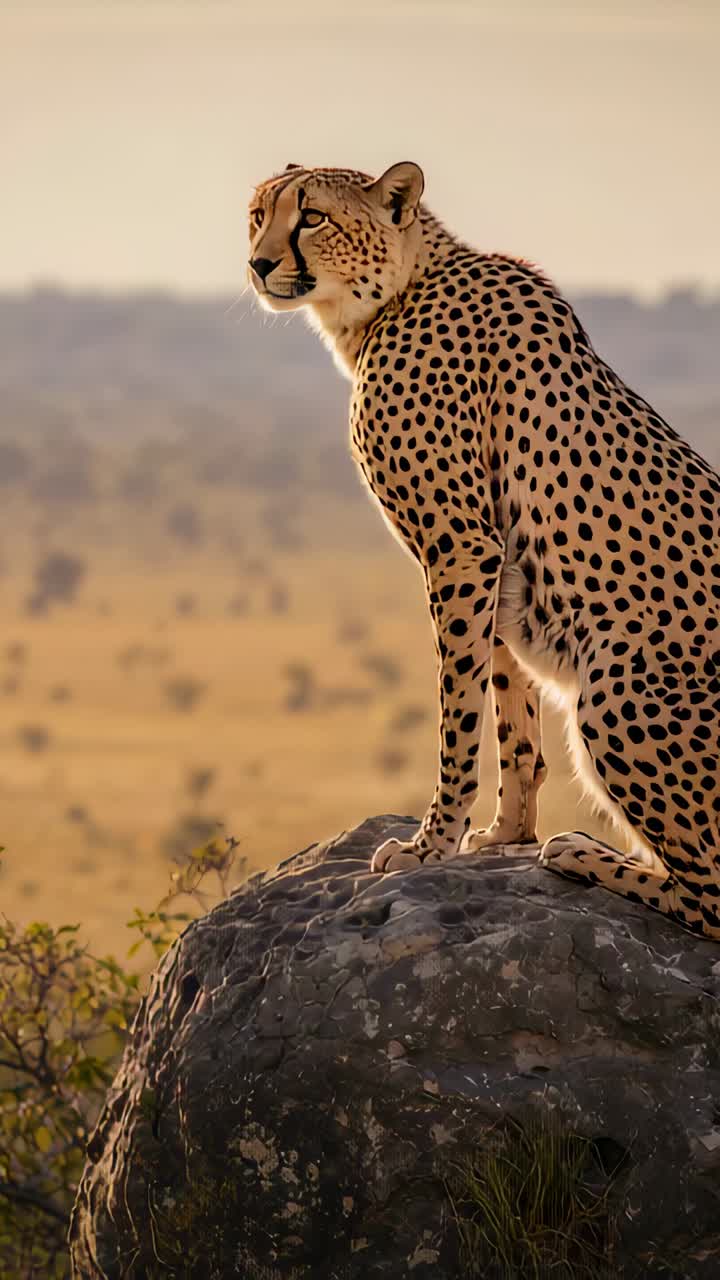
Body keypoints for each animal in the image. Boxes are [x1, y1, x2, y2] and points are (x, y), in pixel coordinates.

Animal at [247, 160, 720, 940]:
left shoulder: (461, 546)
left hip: (614, 688)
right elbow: (509, 711)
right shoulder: (494, 565)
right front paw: (505, 834)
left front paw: (429, 844)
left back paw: (582, 852)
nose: (258, 263)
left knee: (711, 898)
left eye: (312, 216)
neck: (395, 294)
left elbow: (460, 714)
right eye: (258, 213)